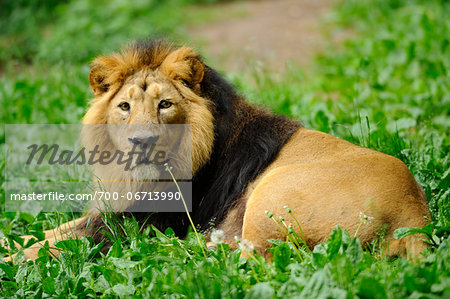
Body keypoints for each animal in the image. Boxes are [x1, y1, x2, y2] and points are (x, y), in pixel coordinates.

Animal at [6, 39, 428, 260]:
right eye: (124, 107)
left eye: (165, 105)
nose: (141, 141)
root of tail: (415, 217)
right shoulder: (113, 208)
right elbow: (50, 232)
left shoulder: (136, 223)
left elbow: (53, 246)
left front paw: (13, 262)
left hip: (270, 195)